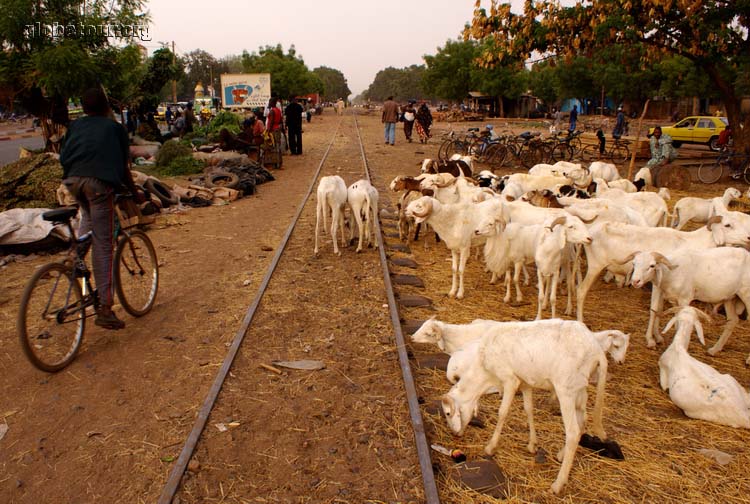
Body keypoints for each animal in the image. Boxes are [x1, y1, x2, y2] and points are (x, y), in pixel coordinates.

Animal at [444, 320, 632, 494]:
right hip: (579, 388)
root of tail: (597, 350)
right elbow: (529, 410)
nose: (454, 434)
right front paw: (532, 445)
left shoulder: (510, 380)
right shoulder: (525, 383)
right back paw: (561, 455)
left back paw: (558, 483)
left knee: (573, 432)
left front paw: (490, 447)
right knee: (582, 421)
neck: (484, 375)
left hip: (566, 389)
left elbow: (503, 412)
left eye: (447, 413)